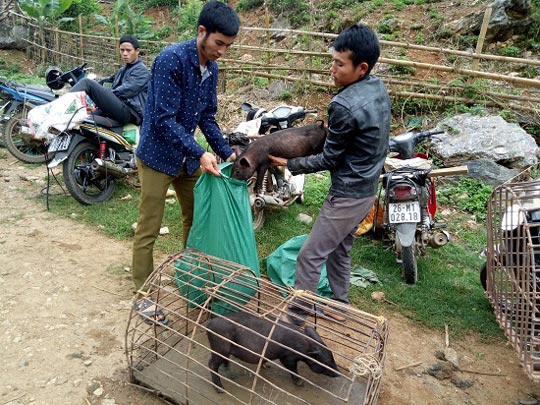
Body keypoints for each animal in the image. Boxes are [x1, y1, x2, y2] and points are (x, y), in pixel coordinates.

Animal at [207, 310, 338, 392]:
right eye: (326, 362)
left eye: (333, 357)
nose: (338, 373)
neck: (305, 347)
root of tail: (209, 325)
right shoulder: (288, 356)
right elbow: (292, 368)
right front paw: (301, 383)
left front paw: (267, 366)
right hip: (219, 346)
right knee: (212, 364)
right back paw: (220, 389)